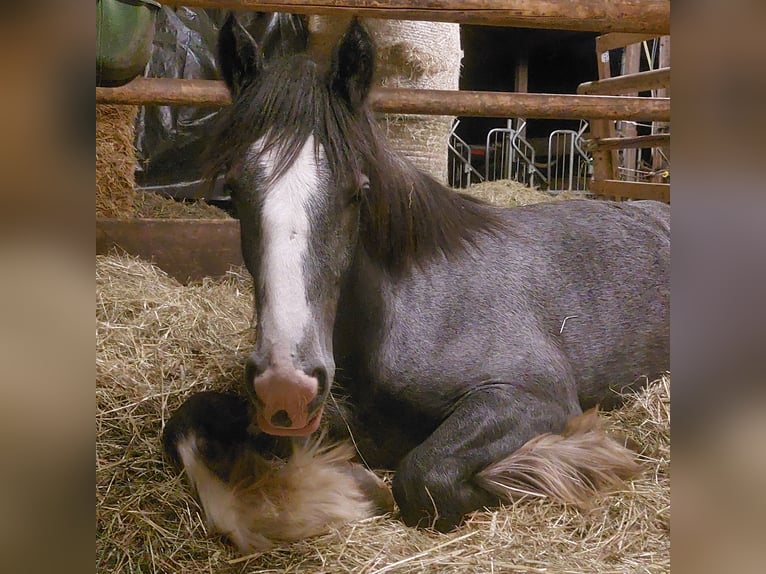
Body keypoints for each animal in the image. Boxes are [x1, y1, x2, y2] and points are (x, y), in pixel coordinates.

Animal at [207, 14, 668, 536]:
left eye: (357, 191)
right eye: (234, 190)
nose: (286, 384)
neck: (417, 303)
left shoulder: (534, 397)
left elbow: (422, 476)